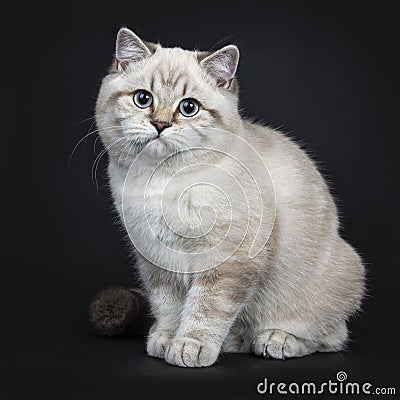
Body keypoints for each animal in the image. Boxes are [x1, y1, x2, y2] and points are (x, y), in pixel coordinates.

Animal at [94, 26, 366, 368]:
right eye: (143, 99)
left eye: (188, 107)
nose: (160, 124)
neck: (161, 182)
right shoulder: (155, 260)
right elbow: (168, 306)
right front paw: (166, 339)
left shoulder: (227, 260)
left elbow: (206, 309)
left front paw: (190, 347)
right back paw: (234, 341)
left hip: (337, 277)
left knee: (329, 337)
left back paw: (276, 341)